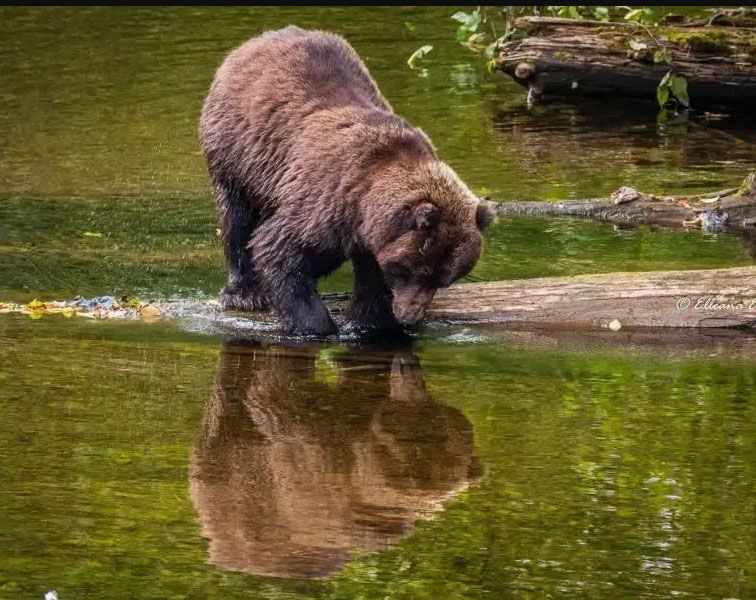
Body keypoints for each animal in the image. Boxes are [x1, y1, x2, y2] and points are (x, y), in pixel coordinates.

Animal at [200, 26, 493, 336]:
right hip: (237, 151)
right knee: (237, 219)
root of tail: (256, 41)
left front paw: (370, 322)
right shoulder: (326, 198)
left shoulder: (371, 234)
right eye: (417, 270)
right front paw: (316, 325)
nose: (410, 316)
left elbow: (372, 280)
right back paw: (244, 292)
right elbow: (279, 248)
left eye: (444, 279)